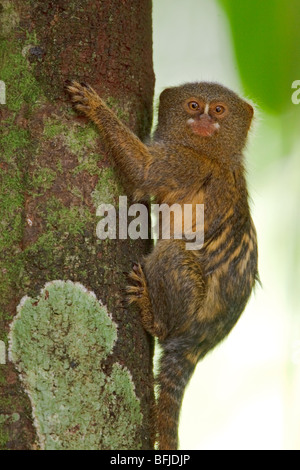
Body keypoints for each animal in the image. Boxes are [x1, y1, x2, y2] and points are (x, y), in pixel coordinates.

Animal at [66, 79, 258, 450]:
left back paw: (151, 314)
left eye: (219, 110)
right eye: (194, 105)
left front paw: (96, 107)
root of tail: (198, 343)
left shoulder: (187, 163)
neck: (212, 152)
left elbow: (145, 172)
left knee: (172, 253)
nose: (205, 121)